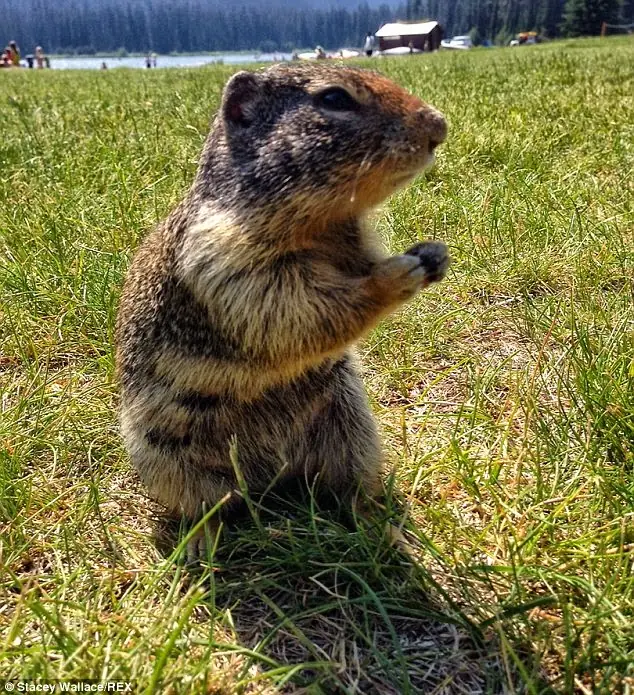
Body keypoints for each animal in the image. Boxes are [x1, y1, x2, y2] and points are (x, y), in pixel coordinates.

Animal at [115, 63, 449, 559]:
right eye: (334, 99)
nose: (438, 127)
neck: (324, 225)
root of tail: (270, 476)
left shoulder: (353, 243)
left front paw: (434, 254)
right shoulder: (225, 257)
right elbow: (295, 308)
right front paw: (396, 275)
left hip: (353, 429)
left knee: (348, 489)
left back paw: (381, 526)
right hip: (167, 457)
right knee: (205, 506)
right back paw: (200, 540)